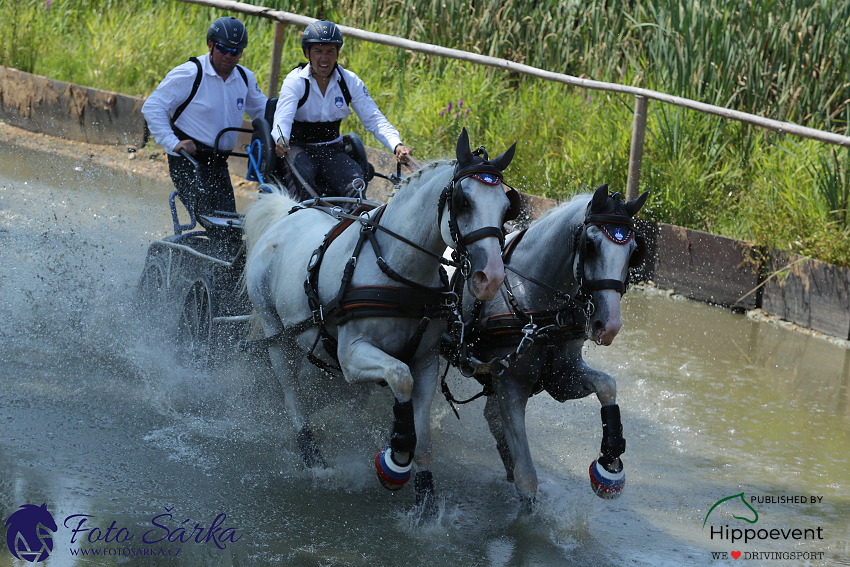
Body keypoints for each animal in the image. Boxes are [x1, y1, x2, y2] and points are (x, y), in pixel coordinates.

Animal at [240, 130, 516, 520]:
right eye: (463, 200)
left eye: (507, 208)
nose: (489, 277)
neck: (399, 271)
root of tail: (285, 215)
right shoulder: (352, 356)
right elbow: (400, 377)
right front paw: (398, 451)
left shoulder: (426, 361)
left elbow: (423, 436)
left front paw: (426, 503)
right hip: (275, 334)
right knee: (291, 391)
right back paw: (312, 456)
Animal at [448, 185, 644, 510]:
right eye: (590, 245)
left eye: (633, 252)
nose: (609, 325)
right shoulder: (509, 383)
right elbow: (526, 476)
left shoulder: (561, 377)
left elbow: (606, 384)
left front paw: (611, 457)